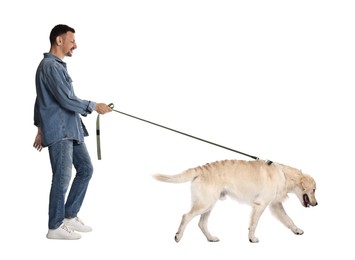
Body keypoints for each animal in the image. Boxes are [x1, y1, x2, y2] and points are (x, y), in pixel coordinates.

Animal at [152, 159, 318, 243]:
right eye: (314, 190)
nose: (317, 204)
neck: (284, 175)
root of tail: (201, 168)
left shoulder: (275, 205)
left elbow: (288, 219)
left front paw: (297, 230)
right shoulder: (261, 205)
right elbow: (254, 224)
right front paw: (252, 238)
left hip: (209, 204)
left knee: (201, 223)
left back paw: (211, 238)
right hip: (205, 203)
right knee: (186, 216)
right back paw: (178, 236)